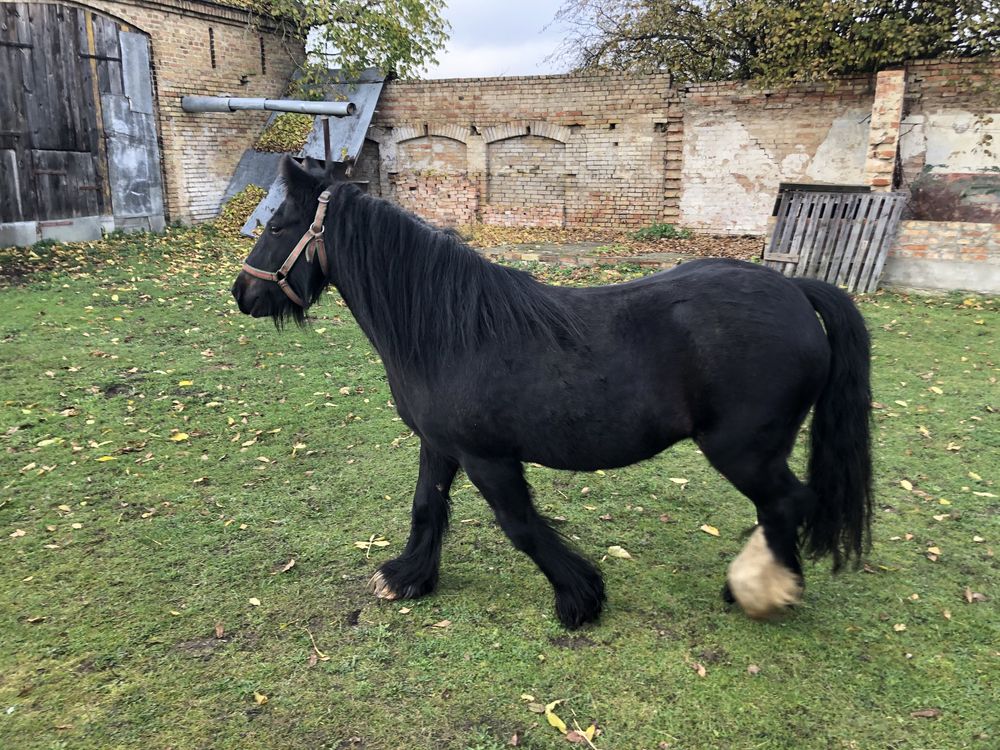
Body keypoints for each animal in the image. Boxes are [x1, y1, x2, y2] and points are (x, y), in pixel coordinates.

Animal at [230, 159, 872, 628]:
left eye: (276, 226)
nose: (242, 293)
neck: (449, 331)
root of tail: (796, 289)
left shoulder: (488, 458)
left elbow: (519, 524)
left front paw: (580, 597)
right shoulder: (440, 445)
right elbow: (426, 506)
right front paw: (409, 577)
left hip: (744, 451)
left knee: (786, 503)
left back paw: (764, 593)